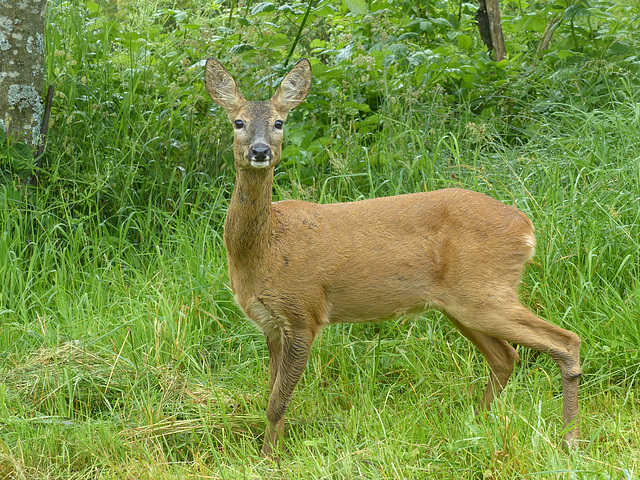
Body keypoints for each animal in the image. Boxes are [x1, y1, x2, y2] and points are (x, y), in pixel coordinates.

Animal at [204, 59, 580, 458]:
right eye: (238, 122)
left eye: (278, 122)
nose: (260, 151)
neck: (266, 250)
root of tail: (527, 228)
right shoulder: (271, 325)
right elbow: (272, 397)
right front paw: (271, 451)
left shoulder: (303, 312)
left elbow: (277, 401)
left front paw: (269, 459)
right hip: (461, 304)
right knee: (506, 356)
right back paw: (474, 425)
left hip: (485, 292)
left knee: (565, 341)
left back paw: (568, 440)